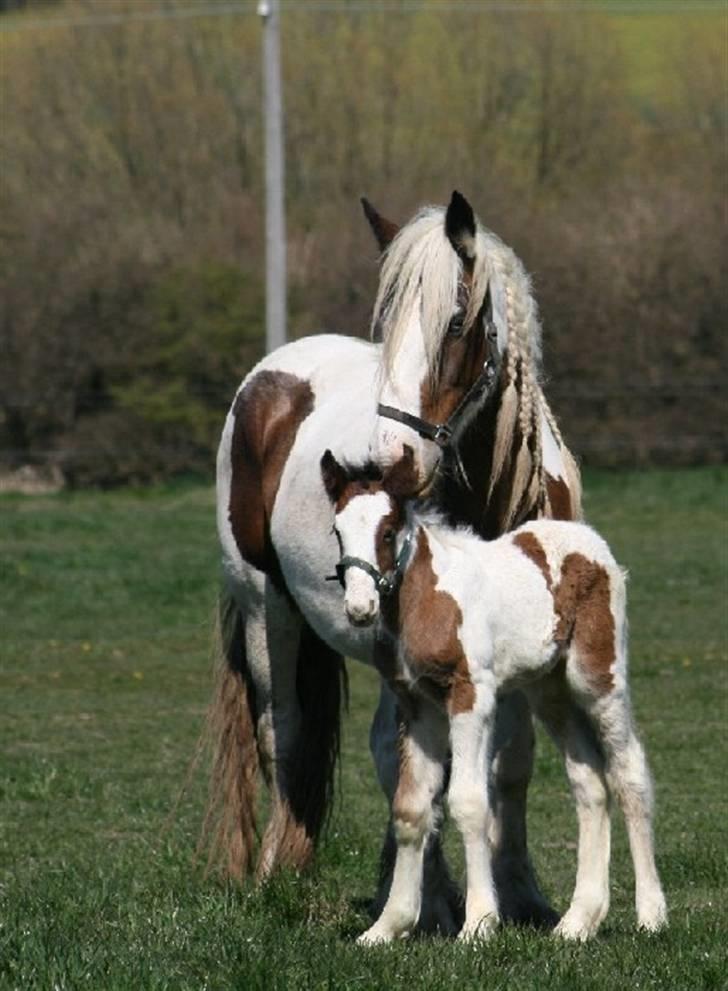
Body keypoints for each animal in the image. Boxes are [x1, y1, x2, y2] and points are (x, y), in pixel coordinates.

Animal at [203, 190, 580, 932]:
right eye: (388, 325)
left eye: (456, 320)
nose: (383, 463)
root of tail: (271, 375)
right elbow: (417, 770)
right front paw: (433, 900)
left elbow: (511, 763)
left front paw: (520, 892)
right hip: (267, 607)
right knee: (285, 730)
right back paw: (286, 870)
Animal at [322, 450, 668, 944]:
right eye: (337, 531)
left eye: (387, 531)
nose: (359, 608)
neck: (427, 598)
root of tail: (591, 542)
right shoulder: (419, 705)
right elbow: (410, 807)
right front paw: (388, 926)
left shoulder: (471, 697)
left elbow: (469, 802)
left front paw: (480, 923)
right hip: (549, 692)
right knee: (590, 782)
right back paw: (578, 922)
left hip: (598, 679)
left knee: (629, 773)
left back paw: (652, 915)